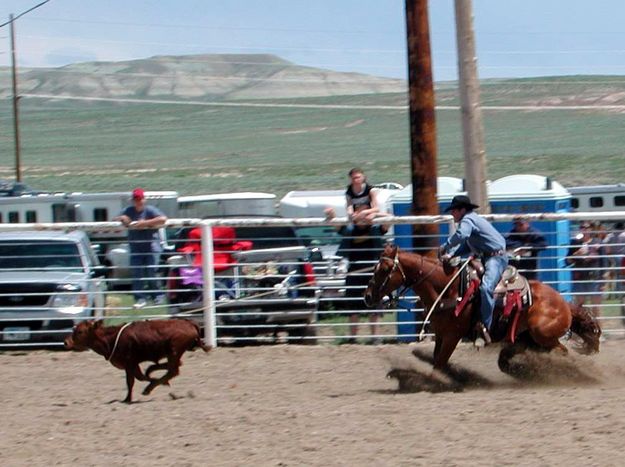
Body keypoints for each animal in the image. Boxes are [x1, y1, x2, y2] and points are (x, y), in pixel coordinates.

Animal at [364, 243, 604, 378]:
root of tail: (564, 304)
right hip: (526, 338)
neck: (449, 287)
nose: (367, 297)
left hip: (542, 334)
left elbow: (439, 364)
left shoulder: (452, 336)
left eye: (385, 269)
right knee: (509, 360)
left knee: (562, 352)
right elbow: (437, 360)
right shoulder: (441, 334)